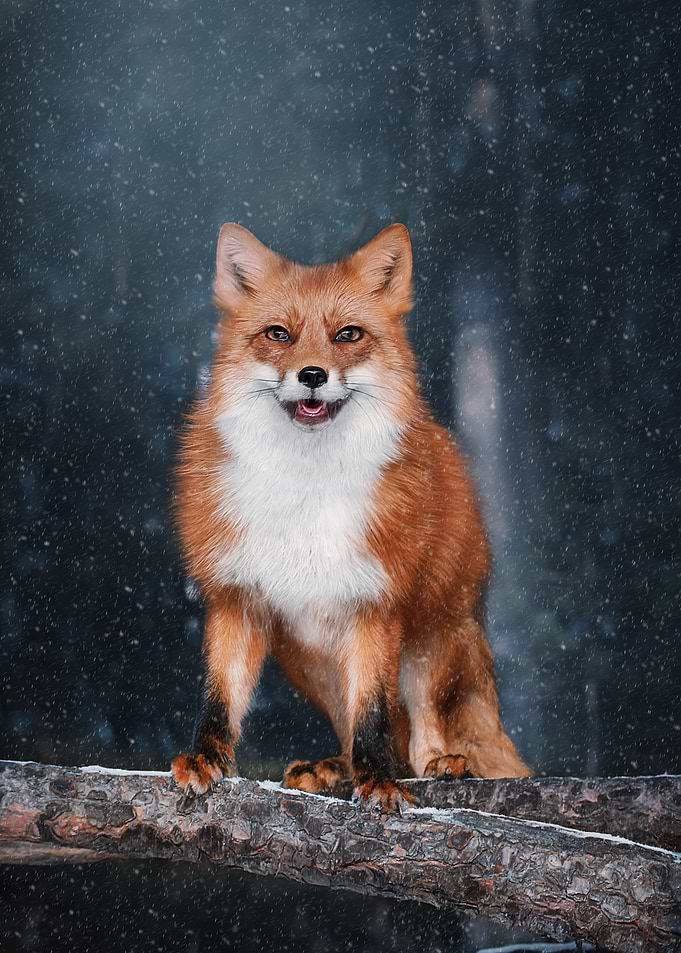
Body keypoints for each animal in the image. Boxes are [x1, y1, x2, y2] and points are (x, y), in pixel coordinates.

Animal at [171, 222, 531, 811]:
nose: (312, 374)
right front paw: (208, 760)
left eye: (348, 334)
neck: (304, 490)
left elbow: (373, 715)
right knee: (352, 725)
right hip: (307, 660)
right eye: (278, 334)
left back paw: (439, 766)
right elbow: (221, 698)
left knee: (419, 730)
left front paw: (378, 781)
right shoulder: (236, 596)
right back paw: (334, 767)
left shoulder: (375, 602)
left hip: (432, 637)